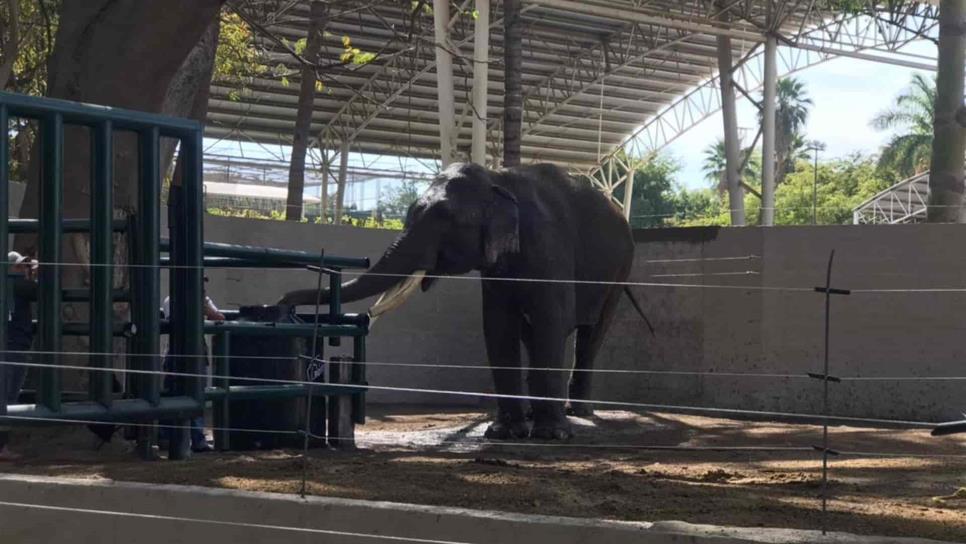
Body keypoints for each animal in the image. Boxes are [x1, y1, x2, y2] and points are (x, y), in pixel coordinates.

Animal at [284, 160, 656, 438]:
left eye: (446, 221)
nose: (284, 302)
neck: (498, 179)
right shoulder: (497, 271)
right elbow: (498, 327)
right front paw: (505, 433)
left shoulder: (550, 248)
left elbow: (550, 323)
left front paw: (551, 435)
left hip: (621, 267)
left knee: (590, 334)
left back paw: (577, 412)